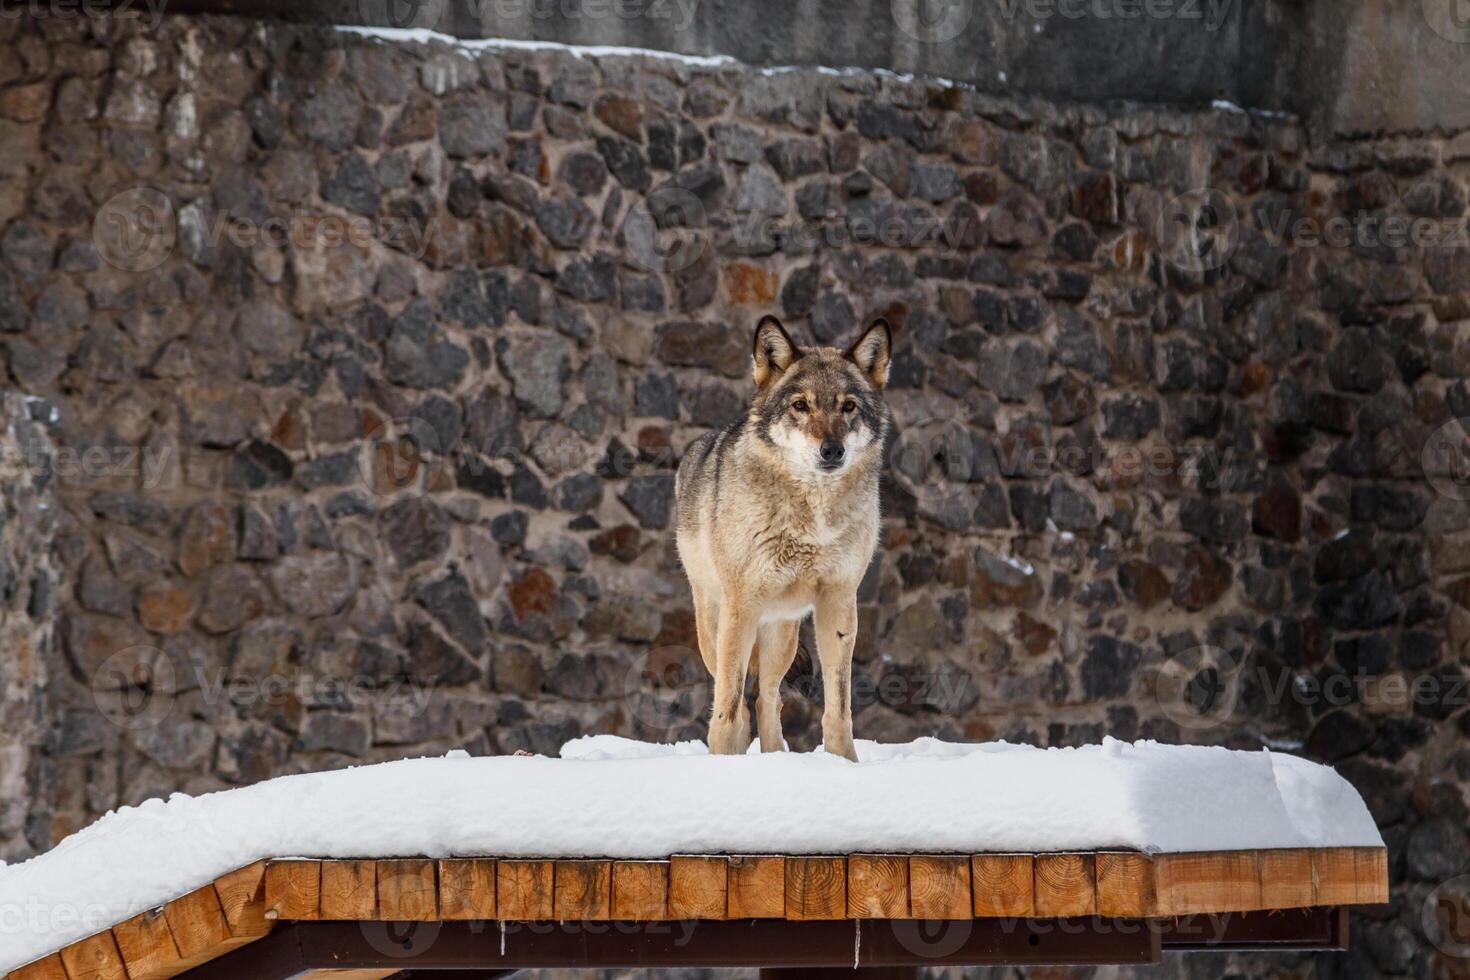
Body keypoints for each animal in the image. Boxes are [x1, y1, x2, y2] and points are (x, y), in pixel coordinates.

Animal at [673, 314, 887, 758]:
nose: (832, 450)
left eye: (849, 406)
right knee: (737, 700)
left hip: (782, 636)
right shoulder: (740, 607)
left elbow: (838, 707)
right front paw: (721, 761)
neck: (811, 516)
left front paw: (845, 763)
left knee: (767, 700)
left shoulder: (840, 602)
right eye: (800, 405)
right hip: (714, 627)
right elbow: (726, 710)